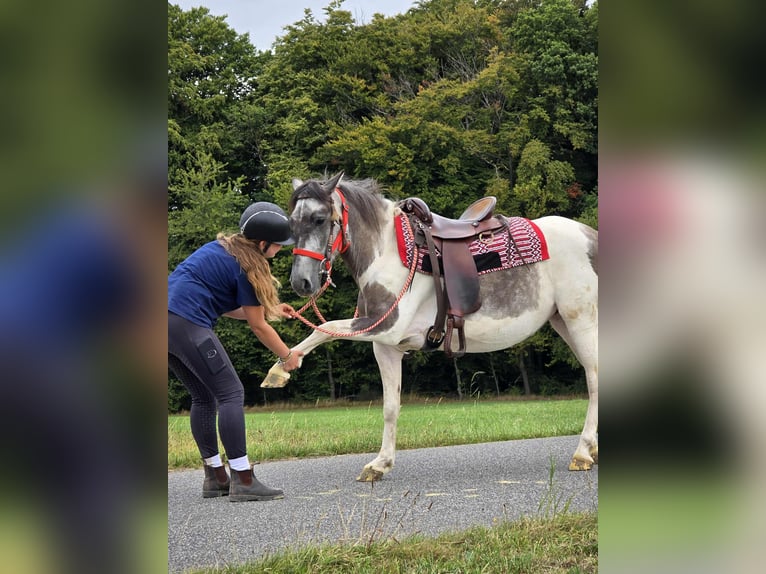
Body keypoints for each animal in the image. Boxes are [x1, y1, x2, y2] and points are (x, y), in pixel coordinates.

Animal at [283, 173, 598, 481]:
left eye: (319, 219)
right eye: (291, 222)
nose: (301, 283)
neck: (389, 253)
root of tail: (590, 236)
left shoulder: (386, 326)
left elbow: (323, 328)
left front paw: (282, 367)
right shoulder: (385, 345)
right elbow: (390, 406)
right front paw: (380, 464)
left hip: (581, 320)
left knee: (593, 378)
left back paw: (582, 453)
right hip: (563, 322)